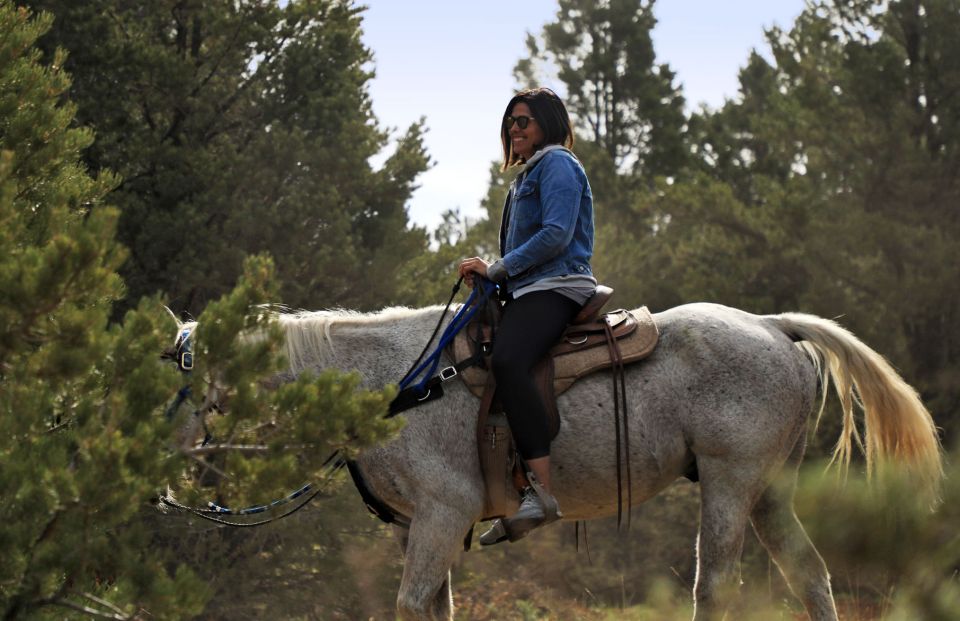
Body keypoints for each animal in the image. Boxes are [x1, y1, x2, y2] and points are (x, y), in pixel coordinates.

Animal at [172, 300, 936, 616]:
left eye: (183, 366)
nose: (167, 447)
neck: (396, 383)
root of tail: (773, 326)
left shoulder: (442, 515)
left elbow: (411, 602)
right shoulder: (415, 525)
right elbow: (432, 607)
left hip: (729, 482)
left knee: (714, 586)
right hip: (768, 492)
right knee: (811, 577)